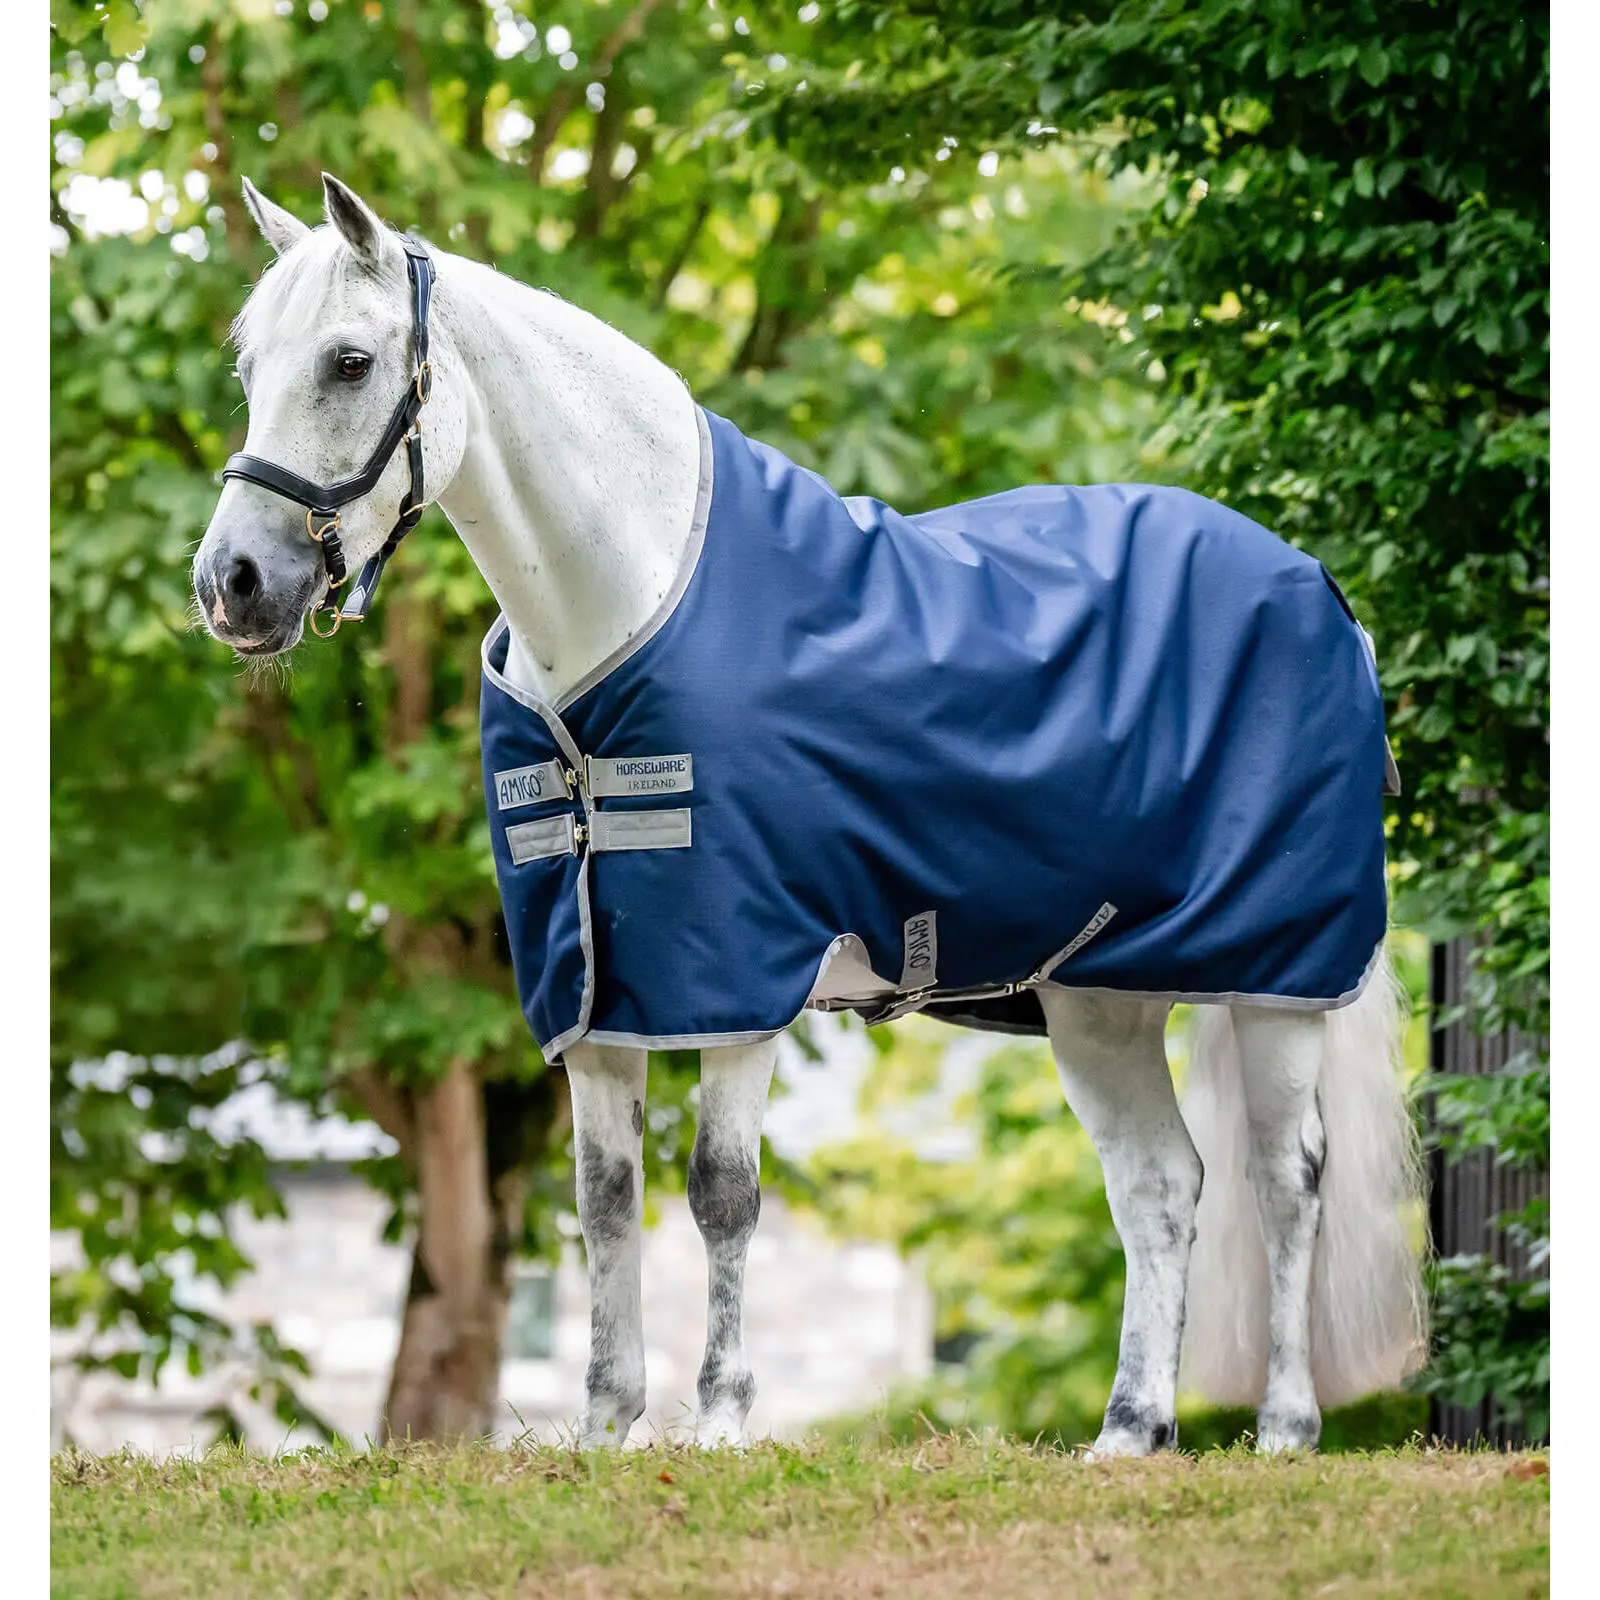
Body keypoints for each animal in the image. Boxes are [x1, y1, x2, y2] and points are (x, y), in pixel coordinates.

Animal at [193, 175, 1426, 1457]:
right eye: (248, 363)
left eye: (349, 361)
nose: (232, 584)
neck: (627, 611)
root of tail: (1319, 592)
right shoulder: (594, 991)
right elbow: (603, 1199)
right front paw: (604, 1425)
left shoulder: (740, 975)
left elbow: (720, 1192)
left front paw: (721, 1419)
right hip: (1099, 1003)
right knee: (1161, 1186)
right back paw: (1130, 1430)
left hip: (1276, 980)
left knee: (1285, 1179)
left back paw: (1284, 1427)